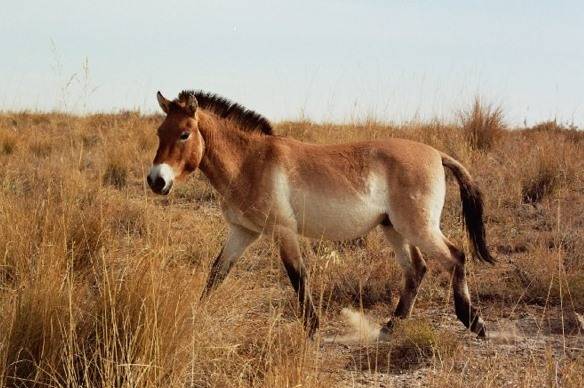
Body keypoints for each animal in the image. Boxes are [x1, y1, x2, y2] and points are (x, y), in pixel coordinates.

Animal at [148, 89, 496, 338]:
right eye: (159, 132)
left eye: (184, 134)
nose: (156, 181)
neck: (249, 162)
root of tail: (437, 154)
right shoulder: (243, 232)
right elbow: (217, 273)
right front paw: (193, 319)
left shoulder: (283, 231)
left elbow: (298, 276)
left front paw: (312, 330)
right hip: (394, 229)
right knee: (417, 269)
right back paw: (392, 326)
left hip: (419, 228)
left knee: (455, 257)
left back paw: (473, 322)